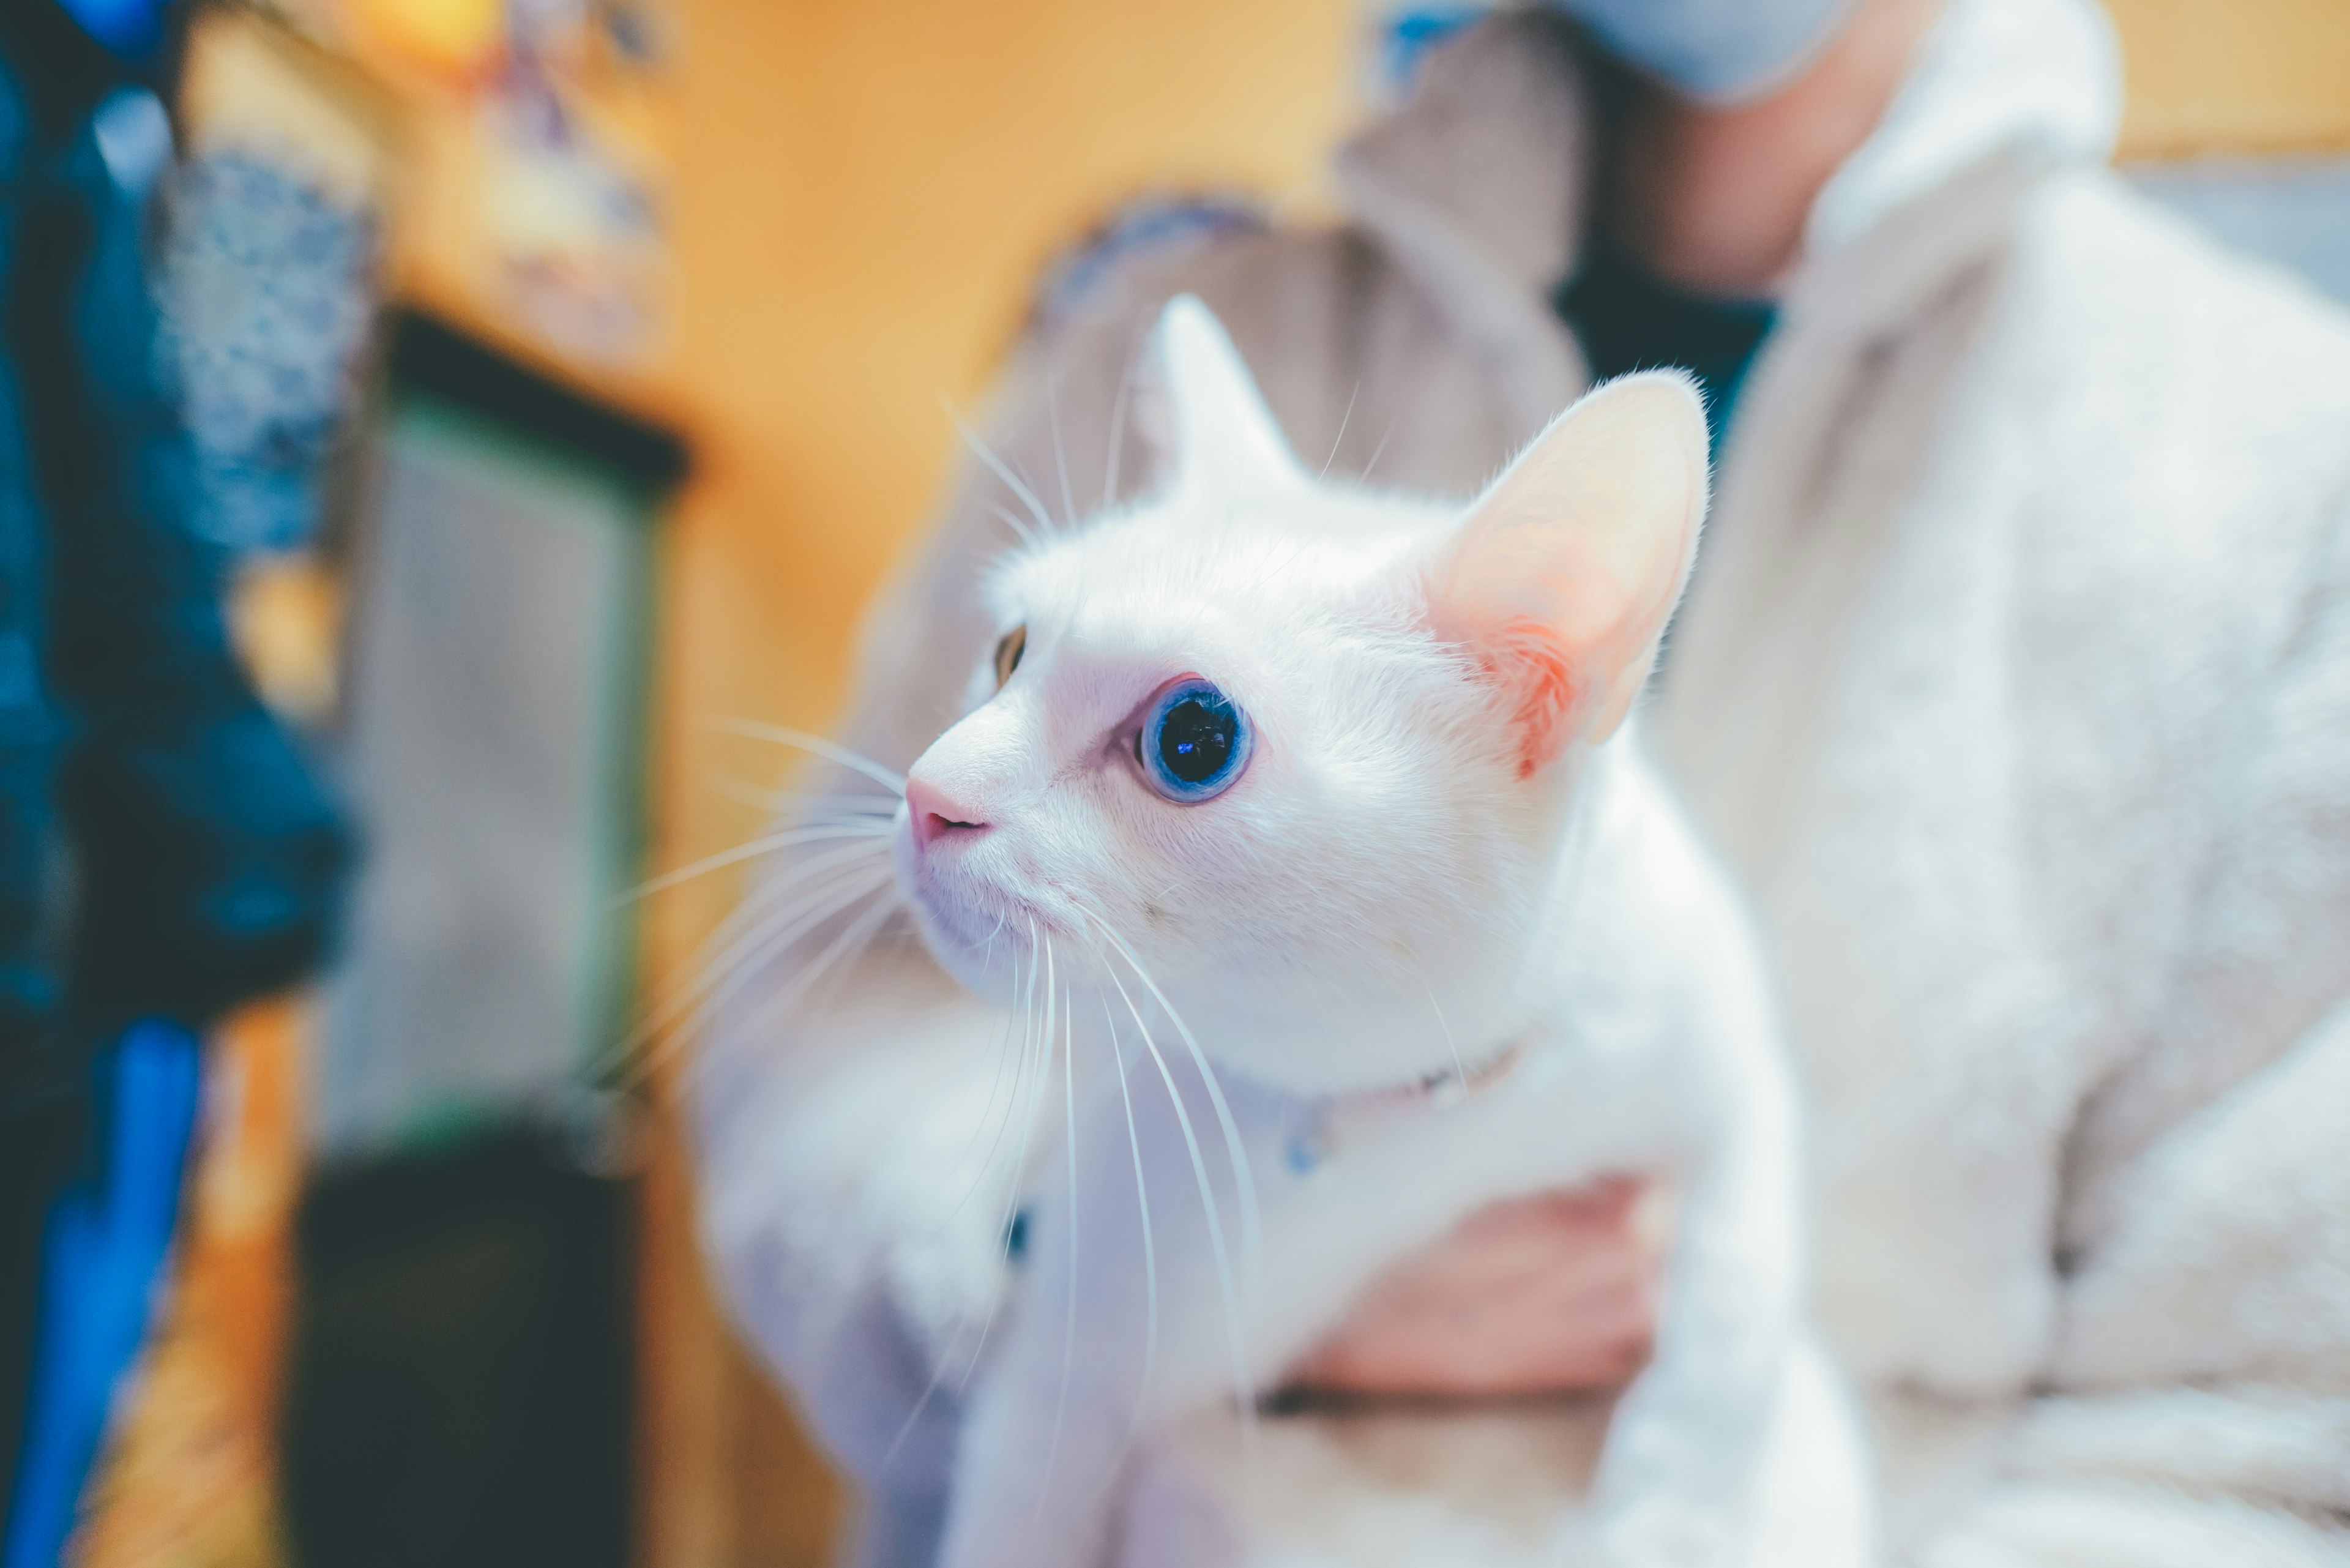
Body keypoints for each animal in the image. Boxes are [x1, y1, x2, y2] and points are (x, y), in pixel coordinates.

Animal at [874, 297, 1861, 1568]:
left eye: (1193, 737)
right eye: (1007, 655)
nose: (927, 792)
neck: (1416, 1109)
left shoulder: (1731, 1066)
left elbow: (1731, 1307)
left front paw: (1661, 1516)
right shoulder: (1065, 1368)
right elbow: (1020, 1511)